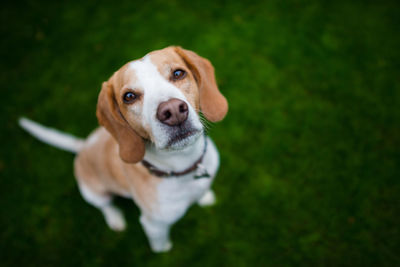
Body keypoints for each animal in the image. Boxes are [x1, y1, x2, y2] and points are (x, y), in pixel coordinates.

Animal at [19, 46, 228, 253]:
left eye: (178, 73)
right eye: (129, 97)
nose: (173, 111)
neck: (184, 166)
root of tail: (83, 144)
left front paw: (205, 197)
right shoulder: (154, 226)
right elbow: (161, 246)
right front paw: (165, 250)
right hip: (94, 194)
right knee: (106, 206)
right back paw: (115, 219)